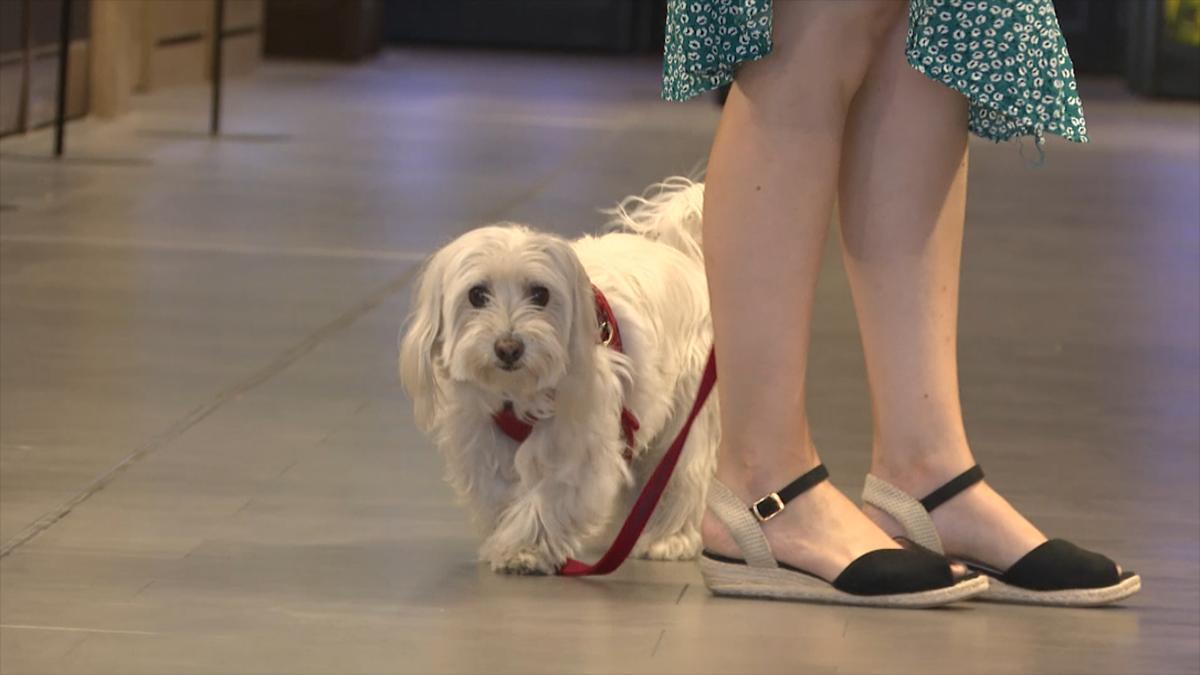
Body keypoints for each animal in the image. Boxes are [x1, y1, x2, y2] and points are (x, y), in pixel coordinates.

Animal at [403, 176, 715, 569]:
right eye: (477, 295)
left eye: (540, 294)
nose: (509, 347)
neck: (518, 394)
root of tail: (681, 255)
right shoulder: (485, 440)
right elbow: (499, 491)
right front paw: (507, 535)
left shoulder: (578, 443)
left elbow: (550, 497)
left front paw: (524, 547)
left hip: (686, 415)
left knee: (679, 475)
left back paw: (668, 537)